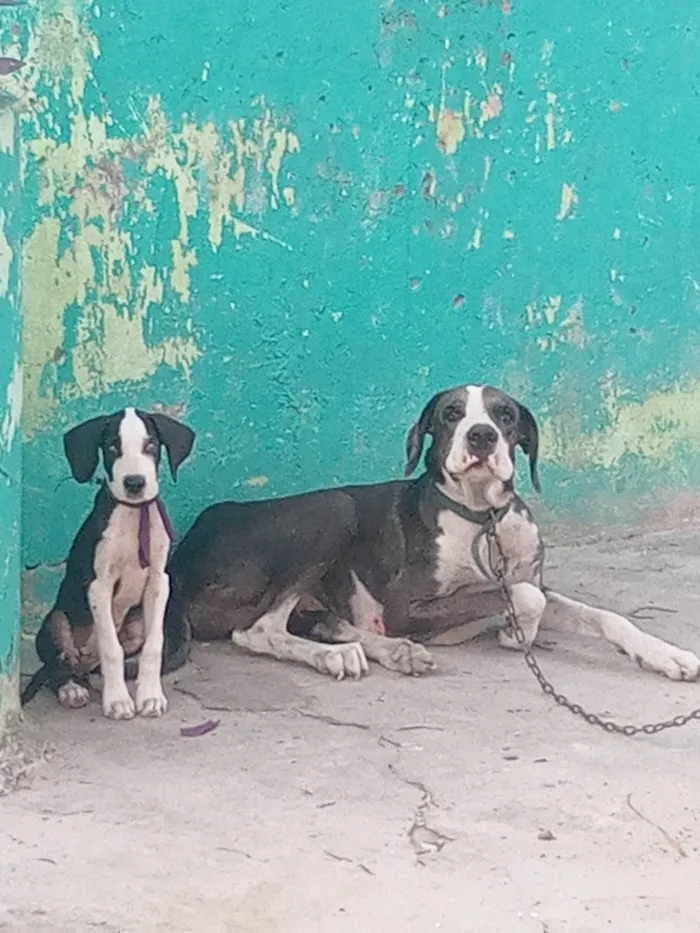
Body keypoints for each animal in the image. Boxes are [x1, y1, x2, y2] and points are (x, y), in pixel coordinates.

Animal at [21, 408, 196, 720]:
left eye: (151, 445)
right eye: (113, 447)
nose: (135, 483)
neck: (133, 514)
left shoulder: (158, 583)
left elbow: (154, 646)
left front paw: (150, 696)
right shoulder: (99, 585)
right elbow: (111, 649)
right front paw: (117, 700)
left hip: (135, 624)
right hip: (56, 621)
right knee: (58, 665)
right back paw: (71, 689)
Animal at [161, 384, 696, 684]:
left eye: (505, 415)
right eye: (451, 413)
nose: (481, 436)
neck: (482, 520)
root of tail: (184, 551)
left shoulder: (531, 577)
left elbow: (603, 616)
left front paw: (666, 655)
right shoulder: (408, 605)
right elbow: (526, 597)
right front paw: (514, 633)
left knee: (323, 621)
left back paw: (385, 650)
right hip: (334, 508)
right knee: (257, 631)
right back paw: (336, 657)